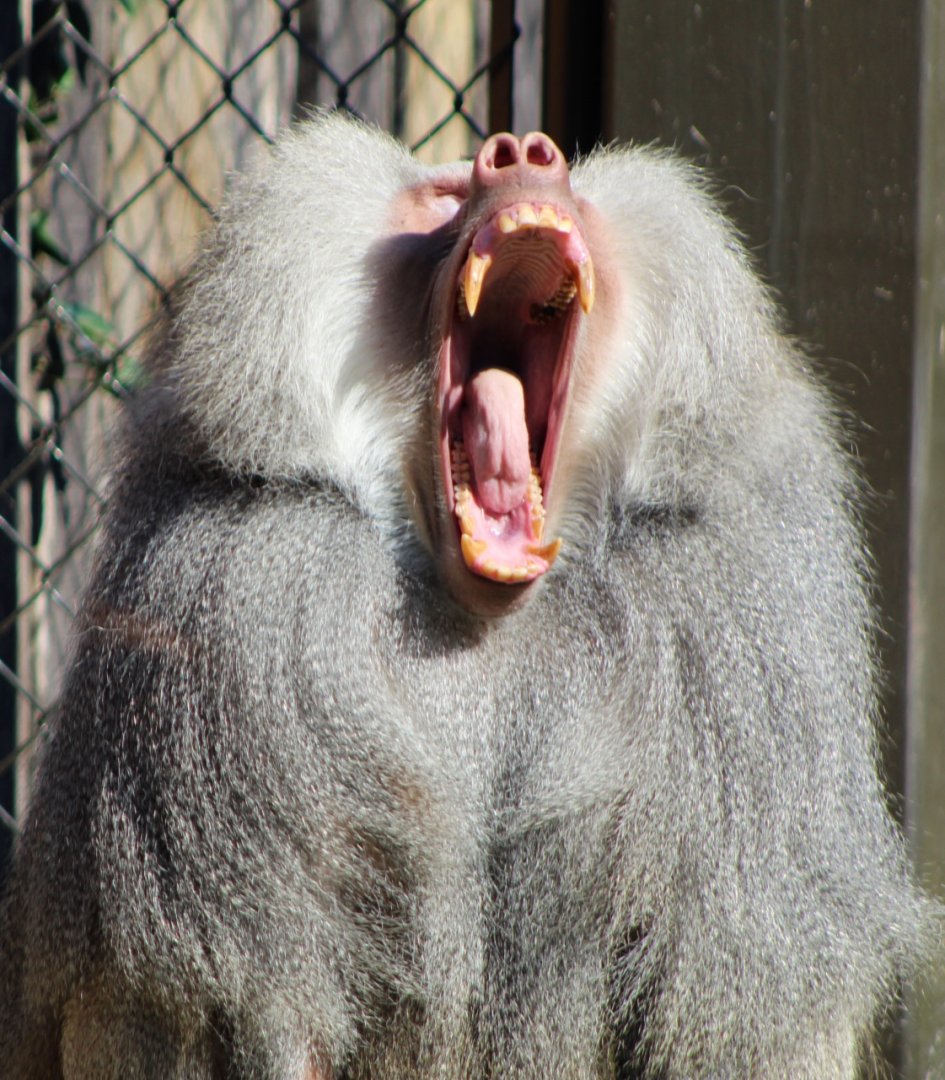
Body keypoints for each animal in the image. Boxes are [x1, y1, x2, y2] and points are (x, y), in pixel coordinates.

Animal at [0, 112, 934, 1079]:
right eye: (444, 196)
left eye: (571, 185)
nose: (523, 150)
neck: (483, 619)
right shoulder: (218, 600)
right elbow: (183, 1006)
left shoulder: (737, 624)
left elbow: (747, 1015)